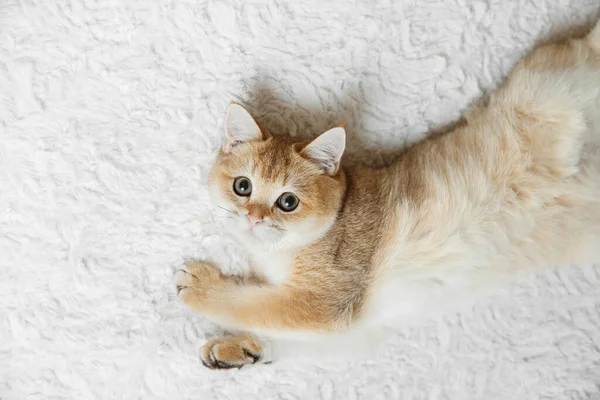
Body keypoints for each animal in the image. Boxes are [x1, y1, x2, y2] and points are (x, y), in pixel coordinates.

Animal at [176, 19, 600, 368]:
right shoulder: (355, 333)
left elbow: (253, 305)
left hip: (544, 90)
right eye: (242, 186)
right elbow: (285, 338)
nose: (254, 217)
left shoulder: (326, 303)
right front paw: (239, 350)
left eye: (288, 201)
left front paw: (203, 287)